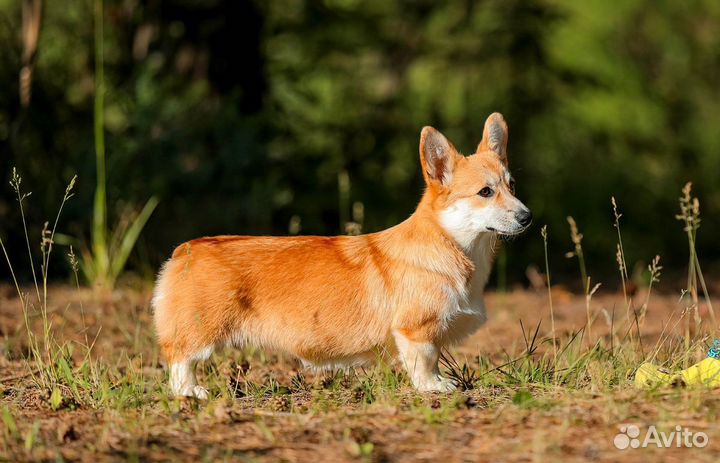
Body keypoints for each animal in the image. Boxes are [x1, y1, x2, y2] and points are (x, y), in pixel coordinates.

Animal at [155, 113, 532, 398]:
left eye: (512, 186)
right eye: (485, 192)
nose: (527, 217)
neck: (451, 243)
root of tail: (183, 250)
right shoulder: (416, 330)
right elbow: (425, 362)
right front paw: (435, 387)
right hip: (201, 330)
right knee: (179, 359)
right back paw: (191, 392)